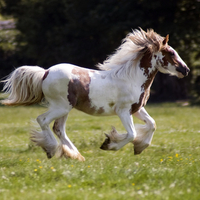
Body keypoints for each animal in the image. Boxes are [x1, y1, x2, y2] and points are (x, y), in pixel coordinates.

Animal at [1, 28, 189, 162]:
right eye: (171, 53)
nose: (185, 70)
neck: (132, 78)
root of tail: (45, 73)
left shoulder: (137, 109)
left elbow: (152, 124)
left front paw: (139, 148)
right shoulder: (123, 111)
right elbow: (132, 134)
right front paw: (109, 144)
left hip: (64, 109)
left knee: (58, 128)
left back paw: (75, 156)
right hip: (61, 107)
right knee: (43, 120)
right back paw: (52, 149)